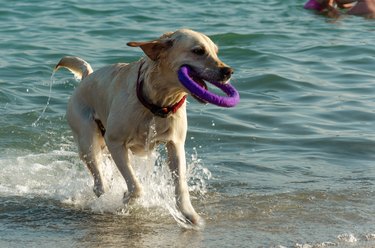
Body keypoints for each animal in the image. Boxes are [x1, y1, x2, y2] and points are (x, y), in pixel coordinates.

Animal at [54, 29, 234, 227]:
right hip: (87, 141)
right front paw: (126, 199)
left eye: (216, 52)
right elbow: (136, 187)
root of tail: (87, 76)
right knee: (98, 180)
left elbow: (180, 186)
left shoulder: (175, 145)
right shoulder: (115, 142)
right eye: (199, 51)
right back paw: (104, 194)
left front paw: (191, 216)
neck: (157, 104)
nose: (228, 71)